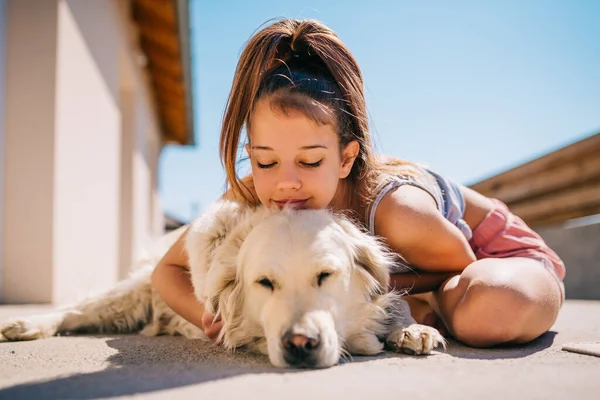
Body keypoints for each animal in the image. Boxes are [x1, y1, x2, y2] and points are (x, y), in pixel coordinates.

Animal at [1, 200, 446, 368]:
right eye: (264, 283)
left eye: (325, 275)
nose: (300, 345)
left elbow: (397, 303)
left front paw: (411, 329)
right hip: (126, 294)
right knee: (74, 311)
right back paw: (26, 324)